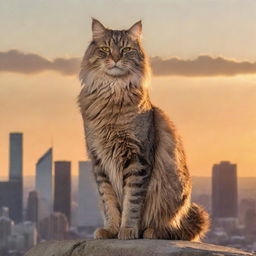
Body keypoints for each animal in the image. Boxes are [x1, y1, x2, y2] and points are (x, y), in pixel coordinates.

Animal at [78, 18, 210, 240]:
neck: (113, 91)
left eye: (125, 50)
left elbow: (132, 203)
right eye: (105, 49)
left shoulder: (137, 158)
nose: (115, 58)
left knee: (170, 227)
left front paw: (128, 230)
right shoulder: (99, 160)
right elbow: (109, 202)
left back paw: (150, 231)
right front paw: (111, 229)